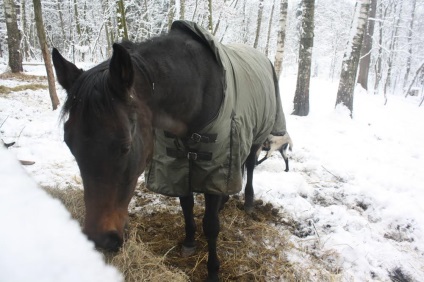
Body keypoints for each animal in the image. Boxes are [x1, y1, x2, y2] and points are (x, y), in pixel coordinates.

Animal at [51, 20, 286, 280]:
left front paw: (213, 270)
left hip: (257, 136)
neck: (198, 93)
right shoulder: (178, 164)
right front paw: (190, 242)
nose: (100, 240)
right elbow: (187, 206)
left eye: (126, 146)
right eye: (70, 144)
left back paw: (249, 203)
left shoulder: (216, 164)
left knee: (251, 166)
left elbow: (211, 224)